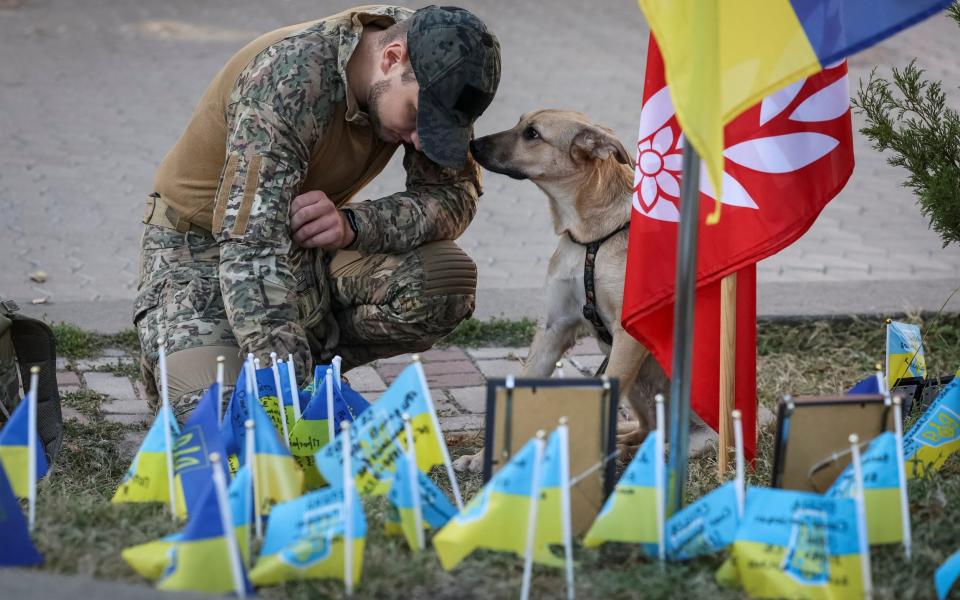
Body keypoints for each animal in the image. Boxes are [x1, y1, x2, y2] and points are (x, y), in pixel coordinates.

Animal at [452, 109, 664, 474]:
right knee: (646, 427)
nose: (472, 144)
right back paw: (624, 444)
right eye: (520, 122)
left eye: (532, 134)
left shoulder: (628, 334)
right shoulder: (553, 328)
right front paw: (484, 457)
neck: (589, 236)